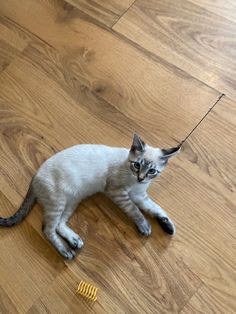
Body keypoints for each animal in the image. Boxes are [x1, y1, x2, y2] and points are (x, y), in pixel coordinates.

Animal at [0, 134, 181, 258]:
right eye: (137, 165)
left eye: (152, 171)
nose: (141, 178)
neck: (135, 183)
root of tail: (35, 175)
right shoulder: (118, 193)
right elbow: (135, 211)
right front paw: (144, 226)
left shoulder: (139, 196)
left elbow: (155, 208)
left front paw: (168, 226)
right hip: (58, 202)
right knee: (47, 229)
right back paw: (66, 251)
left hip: (72, 201)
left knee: (59, 225)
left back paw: (74, 240)